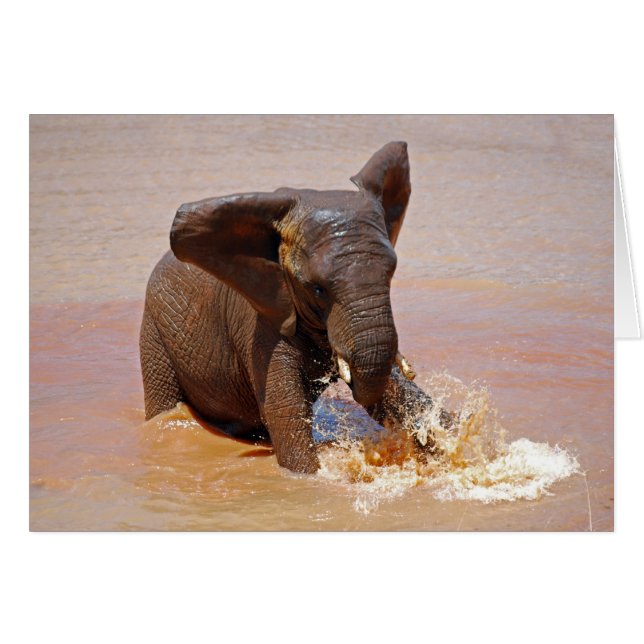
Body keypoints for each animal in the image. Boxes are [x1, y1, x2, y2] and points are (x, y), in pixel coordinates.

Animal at [140, 141, 451, 473]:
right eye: (317, 288)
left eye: (390, 274)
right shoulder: (260, 324)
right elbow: (284, 412)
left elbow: (392, 394)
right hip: (154, 332)